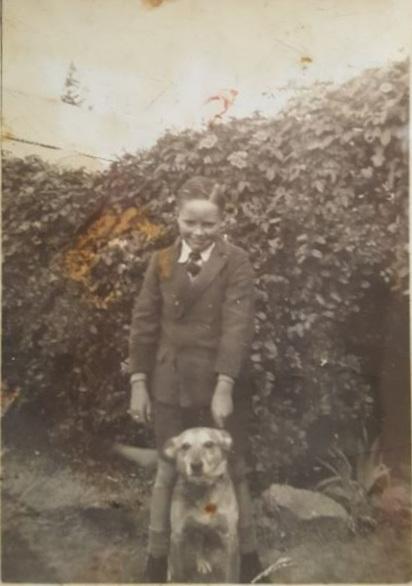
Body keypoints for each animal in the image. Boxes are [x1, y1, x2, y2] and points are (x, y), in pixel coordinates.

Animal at [163, 426, 240, 580]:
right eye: (185, 446)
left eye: (209, 444)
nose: (196, 465)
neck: (203, 488)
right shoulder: (177, 535)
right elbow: (179, 574)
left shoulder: (230, 536)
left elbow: (231, 575)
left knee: (199, 543)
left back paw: (201, 561)